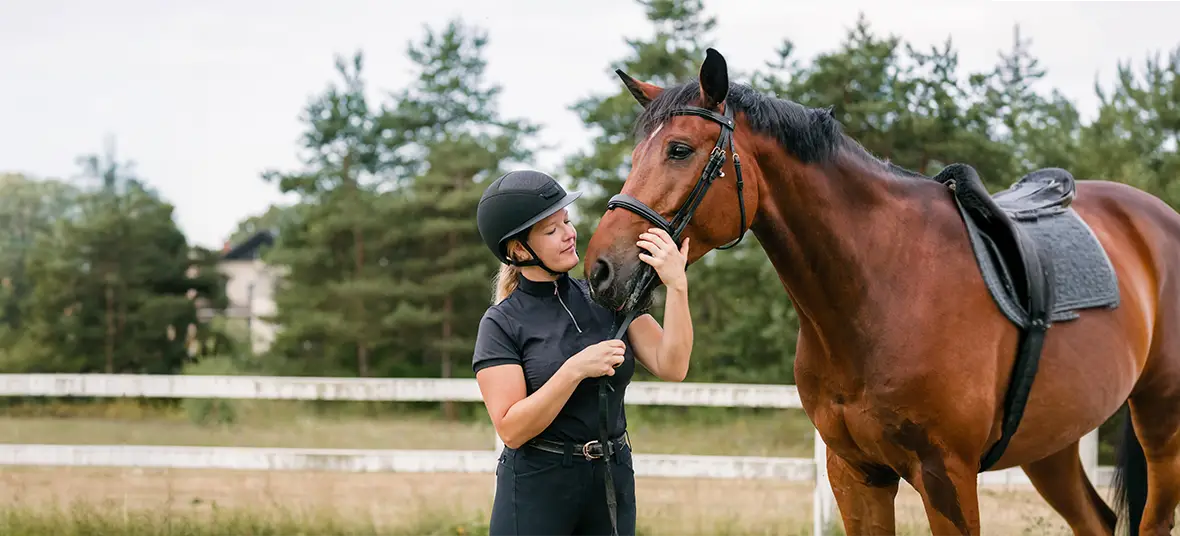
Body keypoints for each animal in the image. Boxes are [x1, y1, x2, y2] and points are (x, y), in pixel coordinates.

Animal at [582, 47, 1180, 535]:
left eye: (680, 150)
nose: (600, 271)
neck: (881, 291)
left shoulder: (948, 479)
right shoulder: (854, 474)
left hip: (1160, 424)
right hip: (1051, 443)